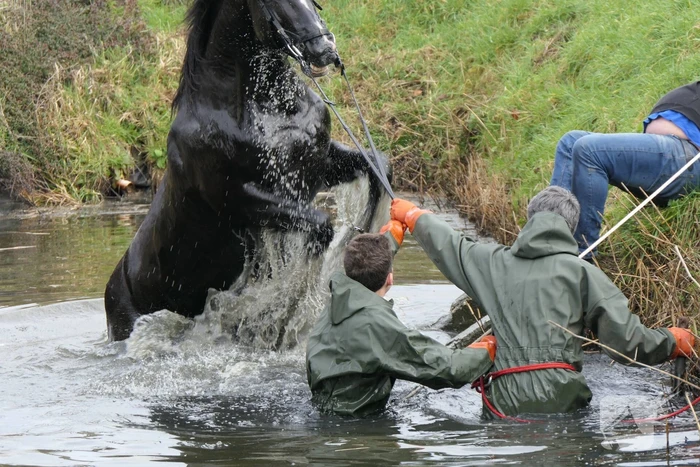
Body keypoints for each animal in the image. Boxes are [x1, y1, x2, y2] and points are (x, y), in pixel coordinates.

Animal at [104, 0, 387, 342]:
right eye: (275, 1)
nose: (325, 50)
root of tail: (111, 292)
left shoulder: (319, 165)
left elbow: (379, 165)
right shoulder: (239, 200)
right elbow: (321, 225)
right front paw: (281, 316)